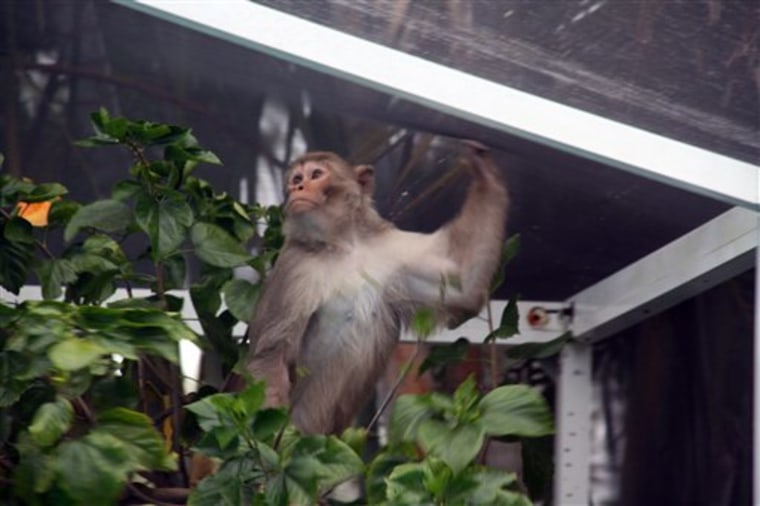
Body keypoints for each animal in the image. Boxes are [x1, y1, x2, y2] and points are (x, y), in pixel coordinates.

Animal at [246, 140, 508, 432]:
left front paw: (484, 172)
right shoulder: (293, 265)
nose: (297, 189)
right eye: (296, 179)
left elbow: (462, 287)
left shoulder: (391, 250)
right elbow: (272, 353)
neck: (343, 245)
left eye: (315, 175)